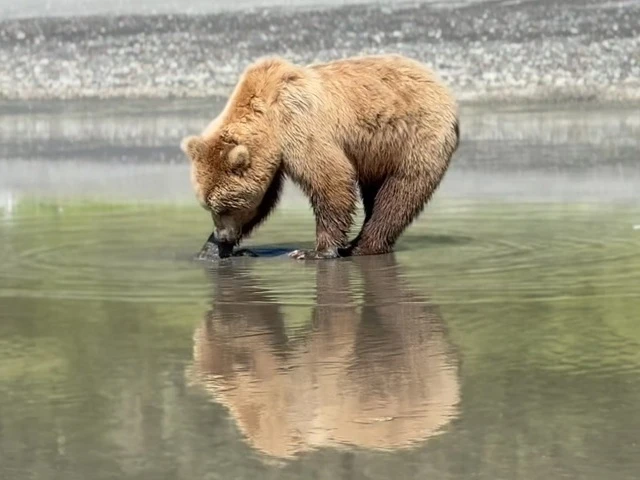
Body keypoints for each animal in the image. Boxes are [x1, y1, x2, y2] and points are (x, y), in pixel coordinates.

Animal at [180, 54, 459, 260]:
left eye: (225, 206)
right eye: (209, 206)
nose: (223, 235)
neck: (268, 120)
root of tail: (440, 84)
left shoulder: (299, 125)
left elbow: (330, 178)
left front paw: (315, 251)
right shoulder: (273, 158)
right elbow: (264, 200)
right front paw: (210, 250)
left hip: (416, 138)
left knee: (401, 192)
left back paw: (363, 246)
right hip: (376, 153)